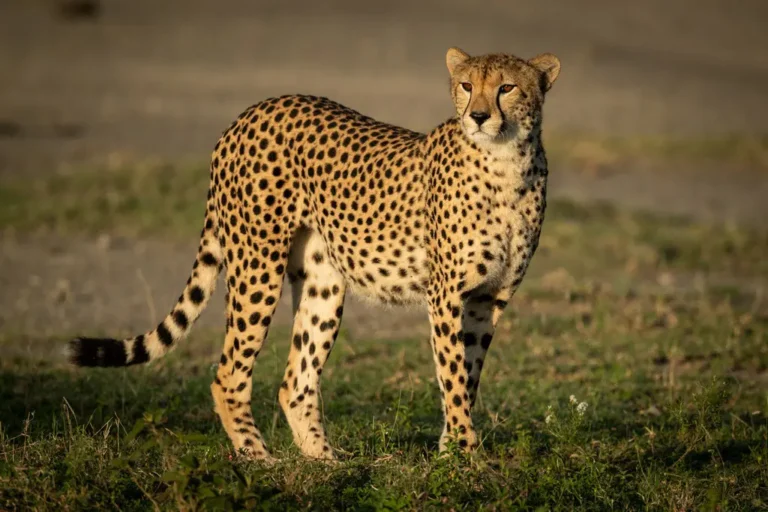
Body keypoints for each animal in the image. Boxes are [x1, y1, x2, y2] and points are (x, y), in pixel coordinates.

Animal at [68, 47, 561, 461]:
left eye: (506, 87)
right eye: (466, 85)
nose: (478, 116)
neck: (506, 164)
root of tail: (252, 111)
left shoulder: (487, 299)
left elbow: (468, 376)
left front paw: (450, 453)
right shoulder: (446, 295)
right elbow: (455, 377)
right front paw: (467, 456)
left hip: (323, 284)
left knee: (295, 382)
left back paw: (325, 463)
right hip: (257, 266)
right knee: (228, 375)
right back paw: (258, 458)